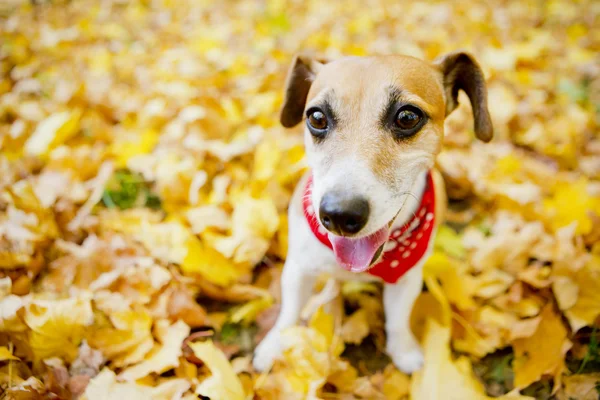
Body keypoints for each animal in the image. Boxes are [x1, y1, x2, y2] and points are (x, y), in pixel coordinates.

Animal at [253, 51, 492, 374]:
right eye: (316, 117)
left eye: (407, 117)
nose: (339, 215)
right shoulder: (298, 269)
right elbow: (289, 313)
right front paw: (274, 345)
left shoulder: (407, 279)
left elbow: (399, 320)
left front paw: (404, 351)